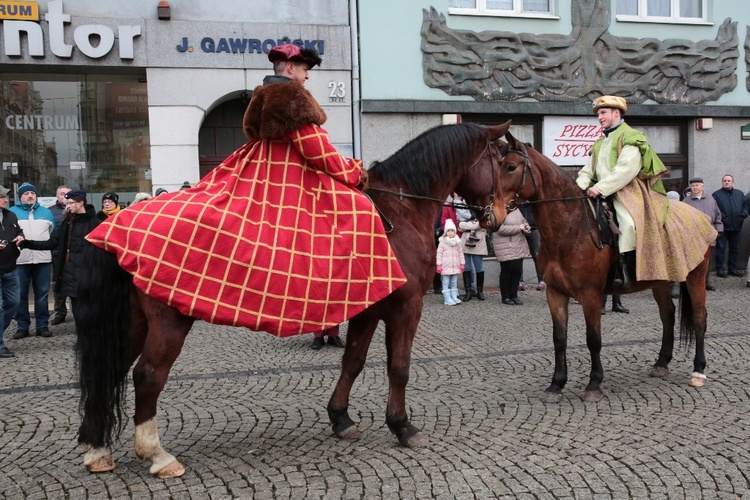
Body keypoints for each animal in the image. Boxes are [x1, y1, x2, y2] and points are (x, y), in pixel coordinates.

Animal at [76, 120, 508, 476]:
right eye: (505, 162)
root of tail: (117, 223)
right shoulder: (406, 307)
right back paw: (157, 455)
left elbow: (352, 362)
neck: (401, 209)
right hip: (169, 320)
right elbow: (398, 367)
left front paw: (341, 419)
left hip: (135, 319)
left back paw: (97, 451)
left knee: (113, 369)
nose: (500, 216)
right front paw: (402, 426)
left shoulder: (368, 309)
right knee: (148, 375)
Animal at [490, 128, 712, 402]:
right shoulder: (555, 293)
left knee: (699, 318)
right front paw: (556, 384)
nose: (492, 214)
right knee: (668, 315)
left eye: (511, 167)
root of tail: (701, 216)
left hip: (695, 277)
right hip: (658, 279)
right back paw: (662, 363)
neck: (572, 229)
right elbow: (559, 338)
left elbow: (593, 338)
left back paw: (698, 371)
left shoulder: (591, 295)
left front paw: (594, 383)